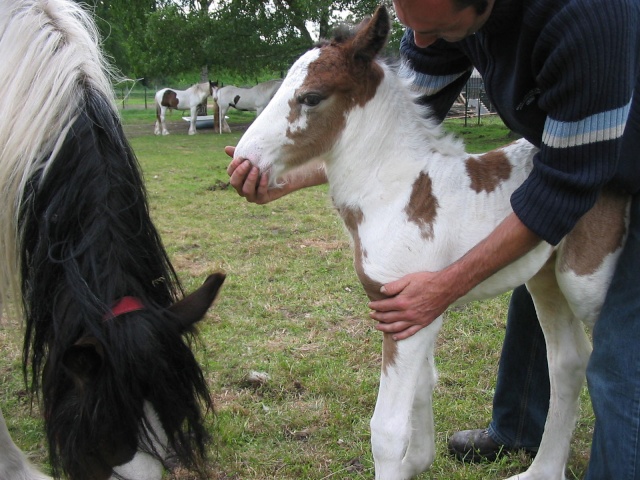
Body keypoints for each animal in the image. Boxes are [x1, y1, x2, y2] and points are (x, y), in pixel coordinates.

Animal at [235, 4, 632, 480]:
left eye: (311, 97)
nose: (244, 159)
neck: (395, 191)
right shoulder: (408, 311)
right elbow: (423, 387)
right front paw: (419, 461)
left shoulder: (412, 308)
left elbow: (387, 429)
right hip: (545, 278)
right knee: (569, 362)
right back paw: (541, 471)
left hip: (585, 281)